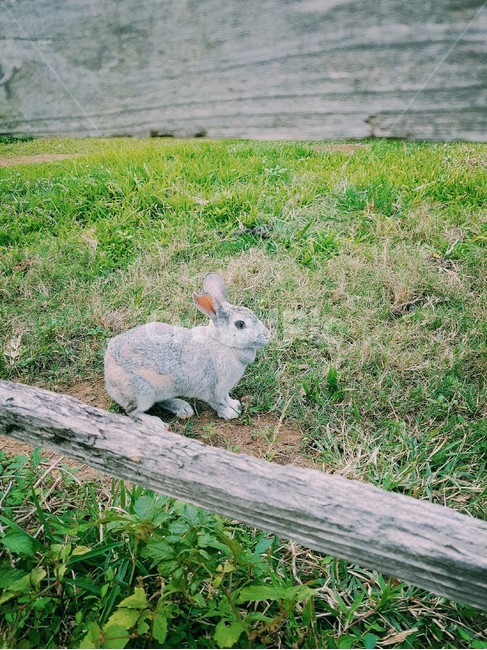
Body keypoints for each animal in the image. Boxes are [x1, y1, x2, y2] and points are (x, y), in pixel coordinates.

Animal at [104, 272, 270, 428]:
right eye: (240, 324)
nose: (268, 335)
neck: (223, 344)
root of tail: (107, 367)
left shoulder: (224, 389)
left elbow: (226, 398)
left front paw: (235, 405)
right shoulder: (213, 389)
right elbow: (219, 403)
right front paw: (230, 413)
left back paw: (182, 408)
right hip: (142, 393)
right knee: (133, 412)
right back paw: (156, 423)